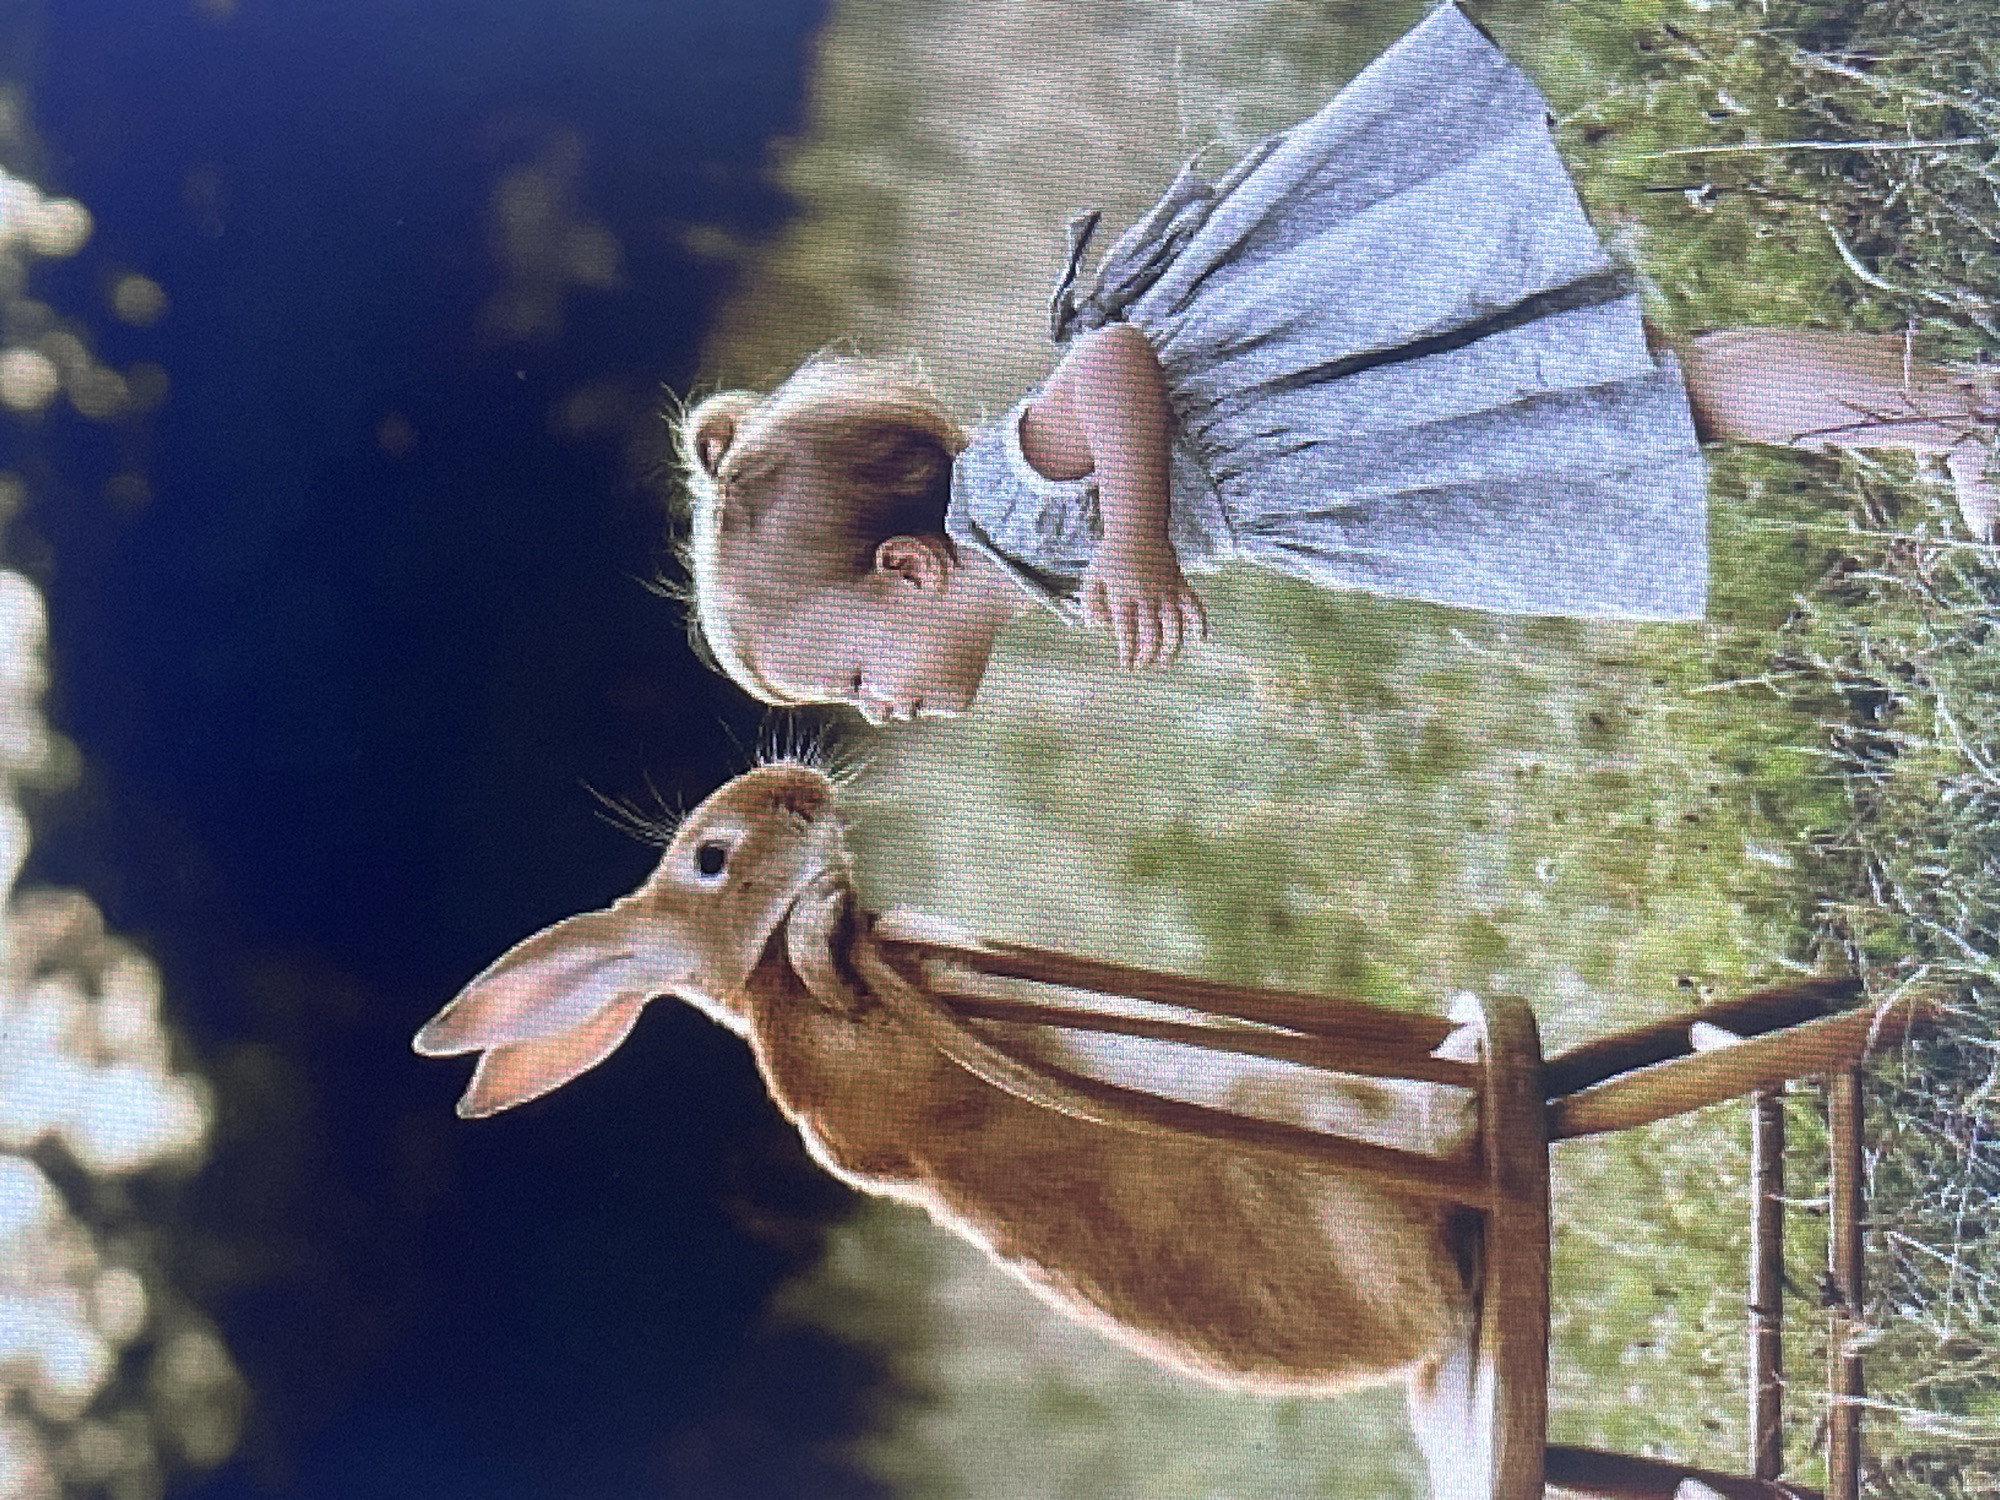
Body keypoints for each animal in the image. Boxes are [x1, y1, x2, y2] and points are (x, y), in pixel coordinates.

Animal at [414, 760, 1481, 1406]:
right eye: (712, 859)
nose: (798, 786)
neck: (764, 975)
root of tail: (1428, 1330)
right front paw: (825, 921)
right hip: (1314, 1119)